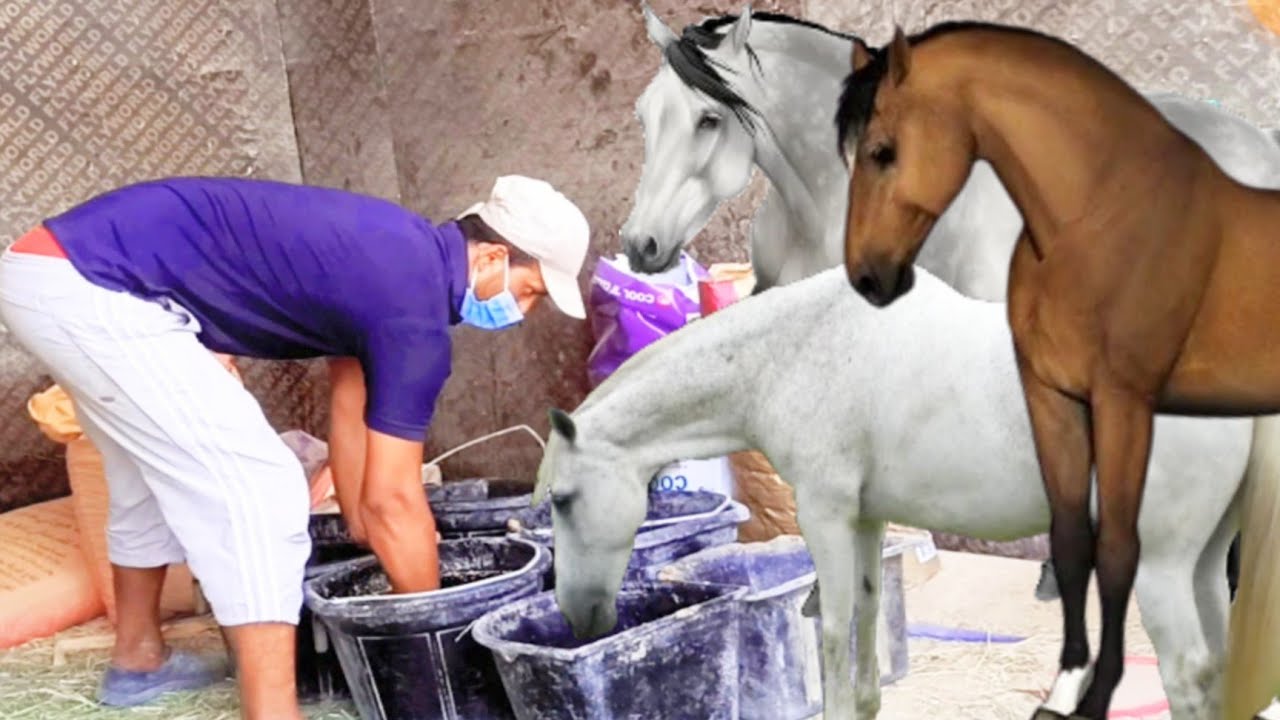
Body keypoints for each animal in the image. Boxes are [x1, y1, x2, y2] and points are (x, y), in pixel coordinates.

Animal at [533, 264, 1257, 720]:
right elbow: (867, 618)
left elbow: (832, 631)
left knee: (1189, 672)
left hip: (1159, 568)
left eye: (563, 500)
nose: (577, 616)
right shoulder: (868, 520)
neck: (789, 351)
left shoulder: (825, 514)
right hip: (1202, 565)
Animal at [835, 21, 1280, 720]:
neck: (1094, 220)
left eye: (883, 151)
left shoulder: (1124, 405)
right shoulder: (1051, 398)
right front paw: (1066, 685)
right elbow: (1071, 542)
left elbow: (1118, 549)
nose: (868, 278)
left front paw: (1098, 695)